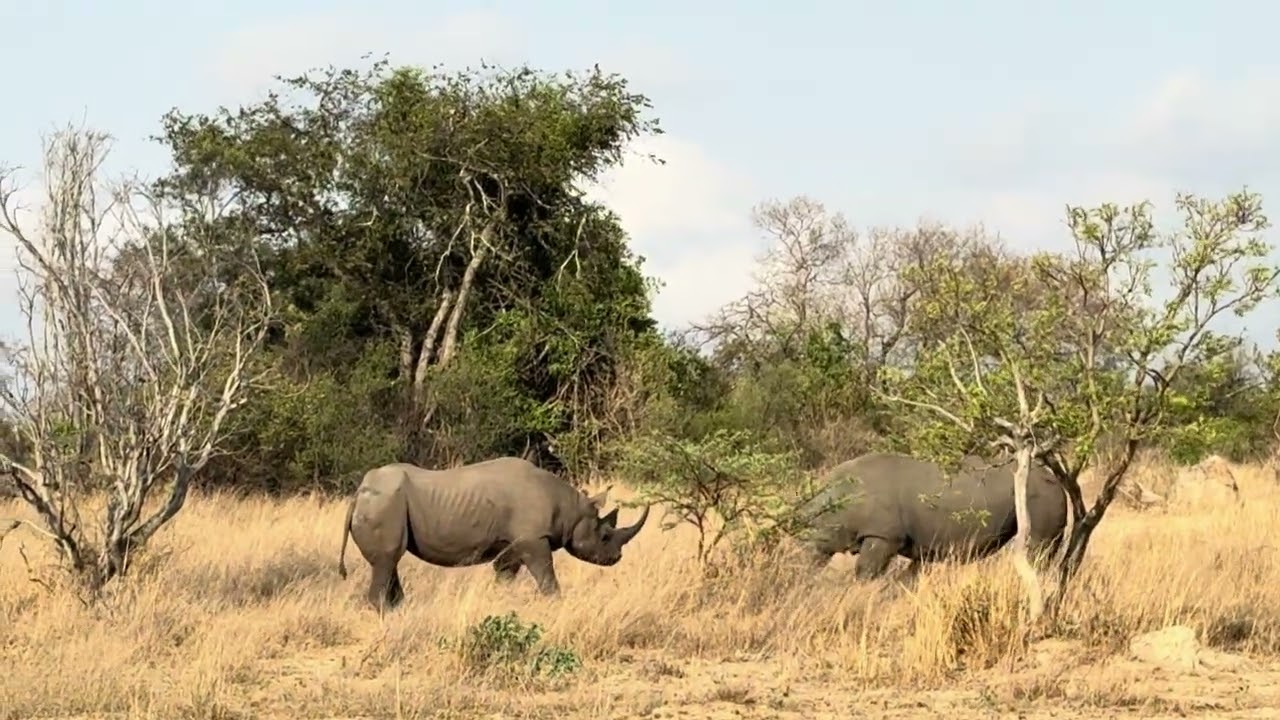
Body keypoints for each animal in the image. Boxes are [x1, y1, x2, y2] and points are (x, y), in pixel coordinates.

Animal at [336, 456, 650, 610]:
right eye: (605, 536)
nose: (616, 558)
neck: (571, 508)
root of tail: (358, 494)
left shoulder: (514, 542)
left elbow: (504, 574)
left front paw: (499, 601)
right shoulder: (533, 539)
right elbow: (547, 577)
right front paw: (556, 604)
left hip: (385, 502)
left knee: (390, 562)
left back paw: (398, 610)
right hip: (384, 502)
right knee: (387, 559)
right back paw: (383, 612)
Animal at [793, 451, 1067, 580]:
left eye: (819, 536)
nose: (801, 567)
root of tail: (1057, 480)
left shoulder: (883, 535)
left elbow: (866, 571)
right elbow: (909, 576)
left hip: (1040, 492)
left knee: (1036, 546)